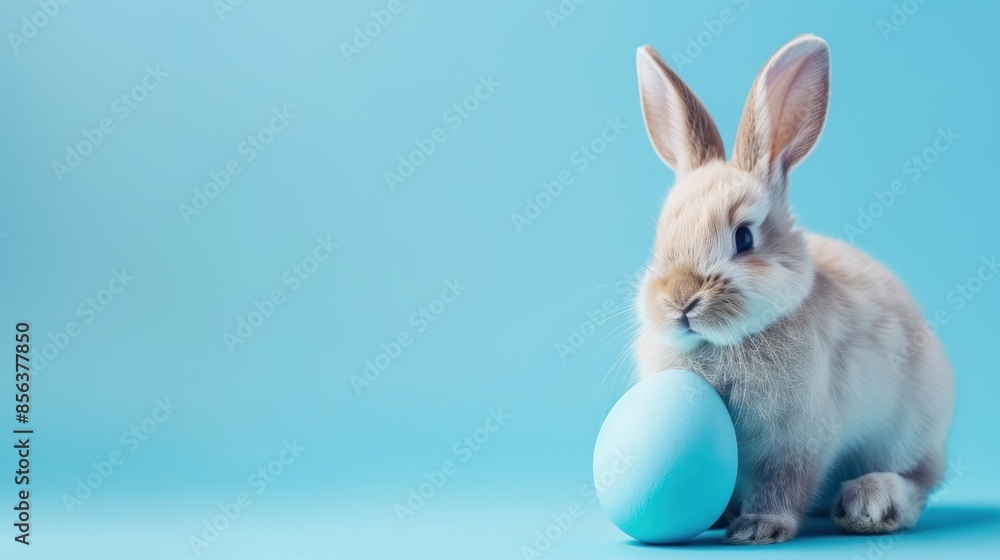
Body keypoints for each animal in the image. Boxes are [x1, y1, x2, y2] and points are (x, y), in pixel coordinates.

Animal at [632, 34, 954, 545]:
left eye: (744, 238)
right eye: (660, 240)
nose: (680, 301)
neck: (724, 343)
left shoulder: (799, 439)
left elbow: (785, 482)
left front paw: (758, 528)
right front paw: (727, 517)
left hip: (910, 430)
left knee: (919, 481)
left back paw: (870, 503)